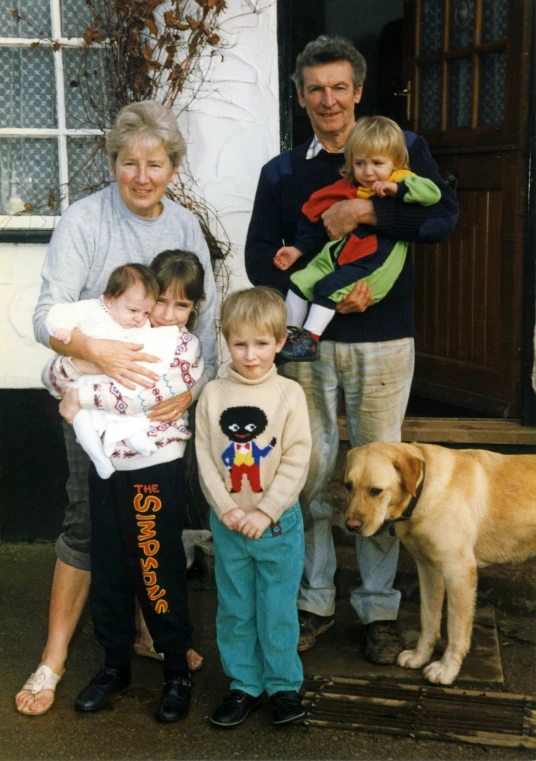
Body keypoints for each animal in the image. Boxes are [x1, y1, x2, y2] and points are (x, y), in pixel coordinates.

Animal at [344, 440, 536, 684]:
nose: (350, 526)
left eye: (375, 490)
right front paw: (419, 656)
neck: (423, 491)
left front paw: (446, 670)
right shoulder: (428, 570)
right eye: (348, 486)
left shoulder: (459, 573)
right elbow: (428, 619)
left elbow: (455, 629)